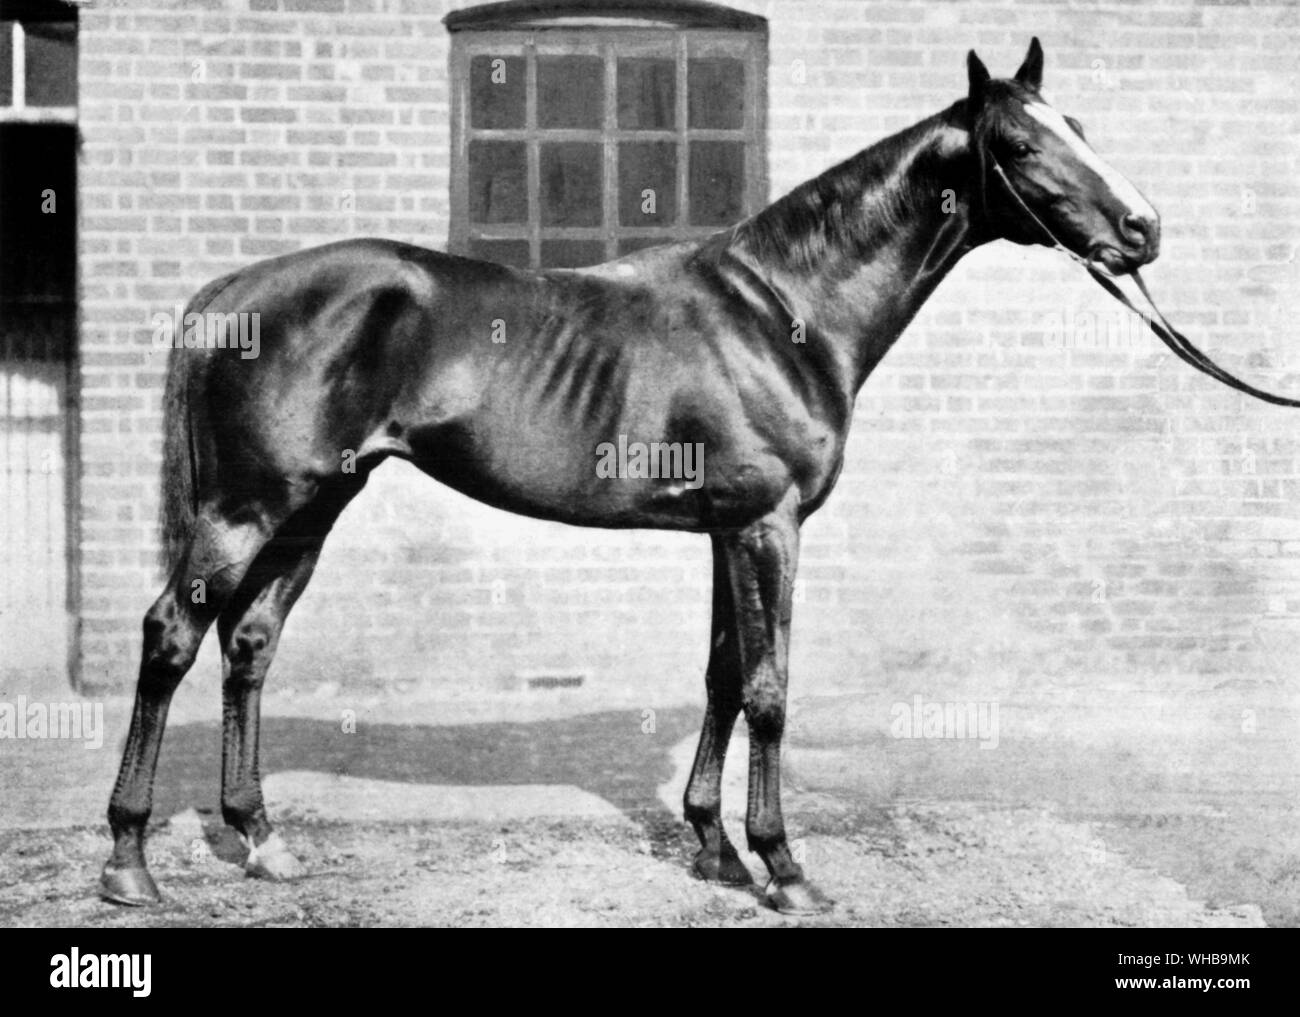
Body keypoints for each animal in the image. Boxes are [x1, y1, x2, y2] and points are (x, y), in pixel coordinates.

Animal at [102, 38, 1163, 915]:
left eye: (1079, 127)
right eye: (1020, 144)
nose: (1143, 228)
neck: (782, 312)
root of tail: (228, 293)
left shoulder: (730, 528)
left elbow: (723, 674)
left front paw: (715, 848)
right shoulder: (768, 525)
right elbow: (770, 687)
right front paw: (784, 866)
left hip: (315, 505)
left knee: (250, 644)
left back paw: (262, 840)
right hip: (245, 508)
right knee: (170, 636)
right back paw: (128, 862)